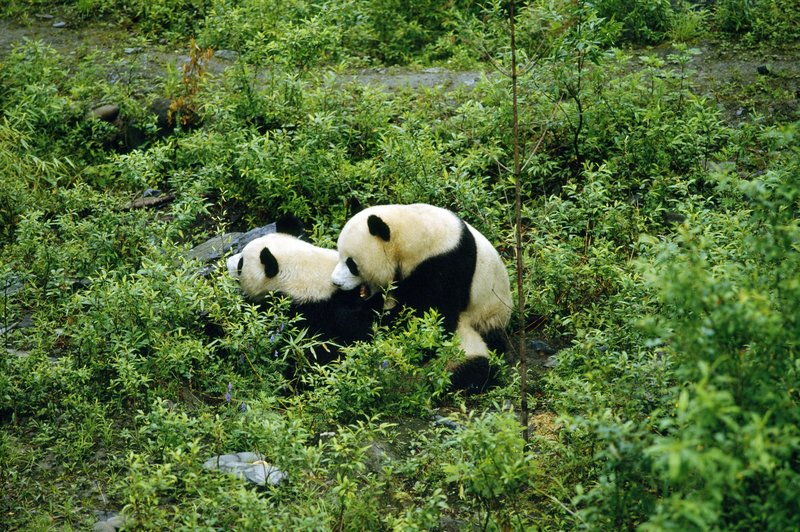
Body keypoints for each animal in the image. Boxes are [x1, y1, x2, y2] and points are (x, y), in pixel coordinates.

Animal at [332, 204, 512, 390]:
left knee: (476, 365)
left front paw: (347, 314)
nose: (335, 282)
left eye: (351, 264)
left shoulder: (446, 265)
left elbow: (429, 322)